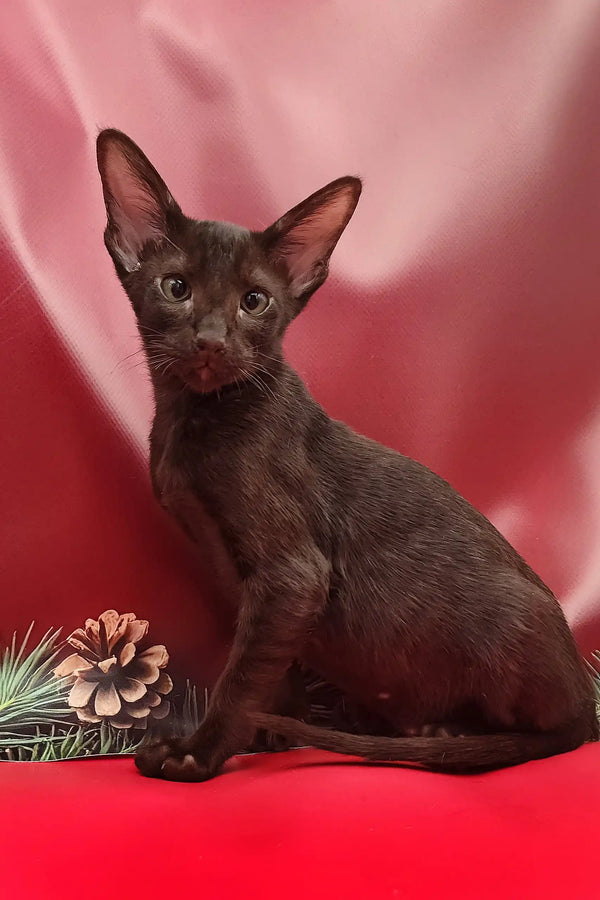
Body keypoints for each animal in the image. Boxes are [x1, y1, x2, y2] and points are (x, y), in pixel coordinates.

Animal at [96, 128, 596, 780]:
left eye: (254, 301)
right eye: (176, 288)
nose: (210, 339)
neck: (193, 417)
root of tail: (587, 705)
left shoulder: (292, 576)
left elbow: (242, 678)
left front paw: (200, 751)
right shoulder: (247, 583)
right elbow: (270, 666)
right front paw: (271, 735)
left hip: (510, 622)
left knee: (540, 729)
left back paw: (446, 733)